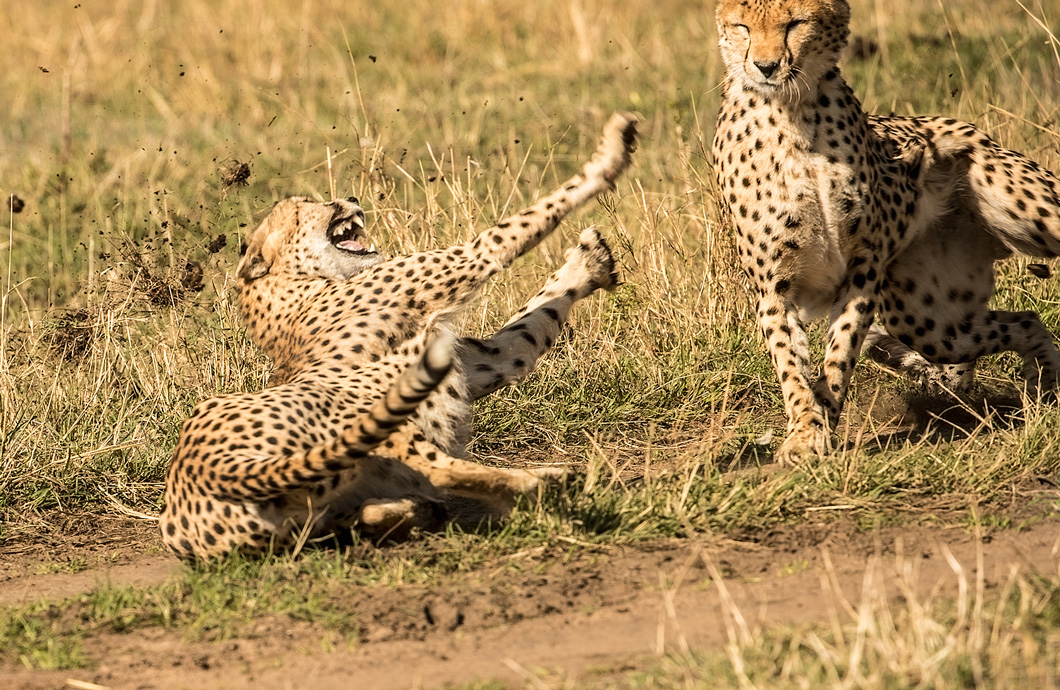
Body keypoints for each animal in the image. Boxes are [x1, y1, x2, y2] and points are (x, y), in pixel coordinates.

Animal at [157, 110, 635, 559]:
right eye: (309, 204)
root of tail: (200, 468)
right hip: (363, 412)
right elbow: (515, 227)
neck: (292, 284)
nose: (350, 198)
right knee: (441, 469)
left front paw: (589, 263)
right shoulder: (468, 262)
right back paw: (544, 482)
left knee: (364, 515)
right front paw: (610, 155)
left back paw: (412, 509)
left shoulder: (478, 361)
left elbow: (533, 325)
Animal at [712, 1, 1060, 464]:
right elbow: (792, 367)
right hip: (930, 322)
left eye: (795, 24)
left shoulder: (863, 269)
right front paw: (807, 431)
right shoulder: (775, 287)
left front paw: (824, 416)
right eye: (742, 27)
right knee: (1025, 320)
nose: (765, 67)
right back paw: (1045, 384)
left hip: (1033, 215)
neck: (795, 111)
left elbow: (840, 352)